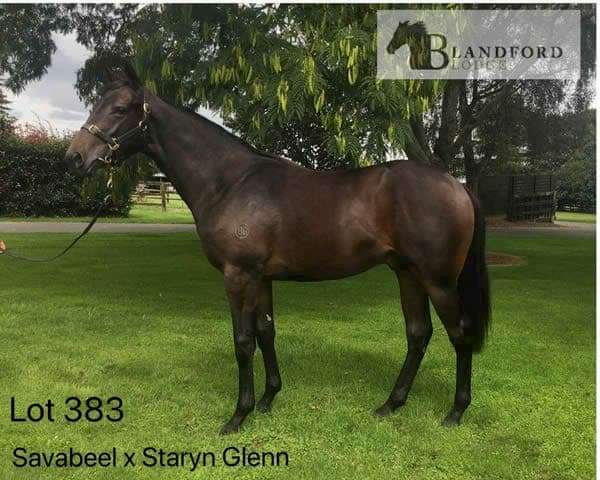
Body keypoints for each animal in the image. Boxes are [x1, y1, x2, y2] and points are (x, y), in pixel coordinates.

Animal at [65, 64, 490, 434]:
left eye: (119, 109)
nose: (75, 157)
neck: (229, 182)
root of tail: (457, 185)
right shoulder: (262, 278)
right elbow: (266, 332)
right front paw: (268, 400)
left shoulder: (238, 276)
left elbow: (243, 342)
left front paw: (238, 415)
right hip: (407, 274)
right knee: (418, 334)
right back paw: (391, 404)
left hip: (438, 281)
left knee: (459, 334)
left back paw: (455, 412)